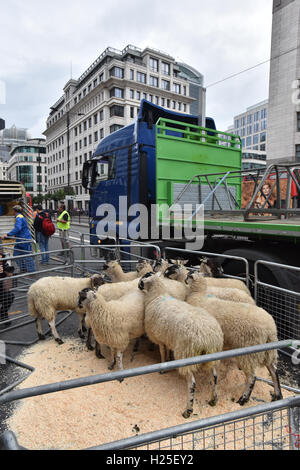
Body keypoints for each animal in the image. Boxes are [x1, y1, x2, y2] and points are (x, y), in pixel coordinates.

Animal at [138, 272, 223, 418]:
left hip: (186, 355)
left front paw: (162, 368)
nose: (138, 285)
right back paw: (213, 399)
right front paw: (170, 361)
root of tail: (208, 338)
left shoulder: (160, 338)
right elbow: (168, 352)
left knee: (192, 384)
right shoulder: (167, 338)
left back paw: (188, 410)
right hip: (211, 357)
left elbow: (162, 353)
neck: (157, 296)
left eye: (144, 277)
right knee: (215, 376)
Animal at [186, 274, 282, 406]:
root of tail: (270, 329)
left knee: (252, 377)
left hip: (249, 352)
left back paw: (243, 399)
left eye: (188, 276)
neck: (198, 295)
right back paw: (277, 395)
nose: (185, 280)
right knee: (274, 371)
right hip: (269, 351)